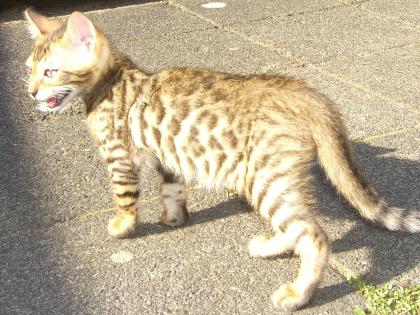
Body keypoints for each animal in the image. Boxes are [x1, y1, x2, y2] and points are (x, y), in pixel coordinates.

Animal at [24, 8, 418, 312]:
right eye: (29, 69)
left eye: (51, 72)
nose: (30, 92)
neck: (113, 78)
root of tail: (307, 94)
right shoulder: (168, 155)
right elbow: (172, 190)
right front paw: (173, 218)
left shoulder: (118, 154)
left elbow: (124, 195)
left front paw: (123, 225)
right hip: (267, 177)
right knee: (296, 225)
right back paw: (269, 247)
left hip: (265, 176)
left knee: (312, 234)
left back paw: (297, 293)